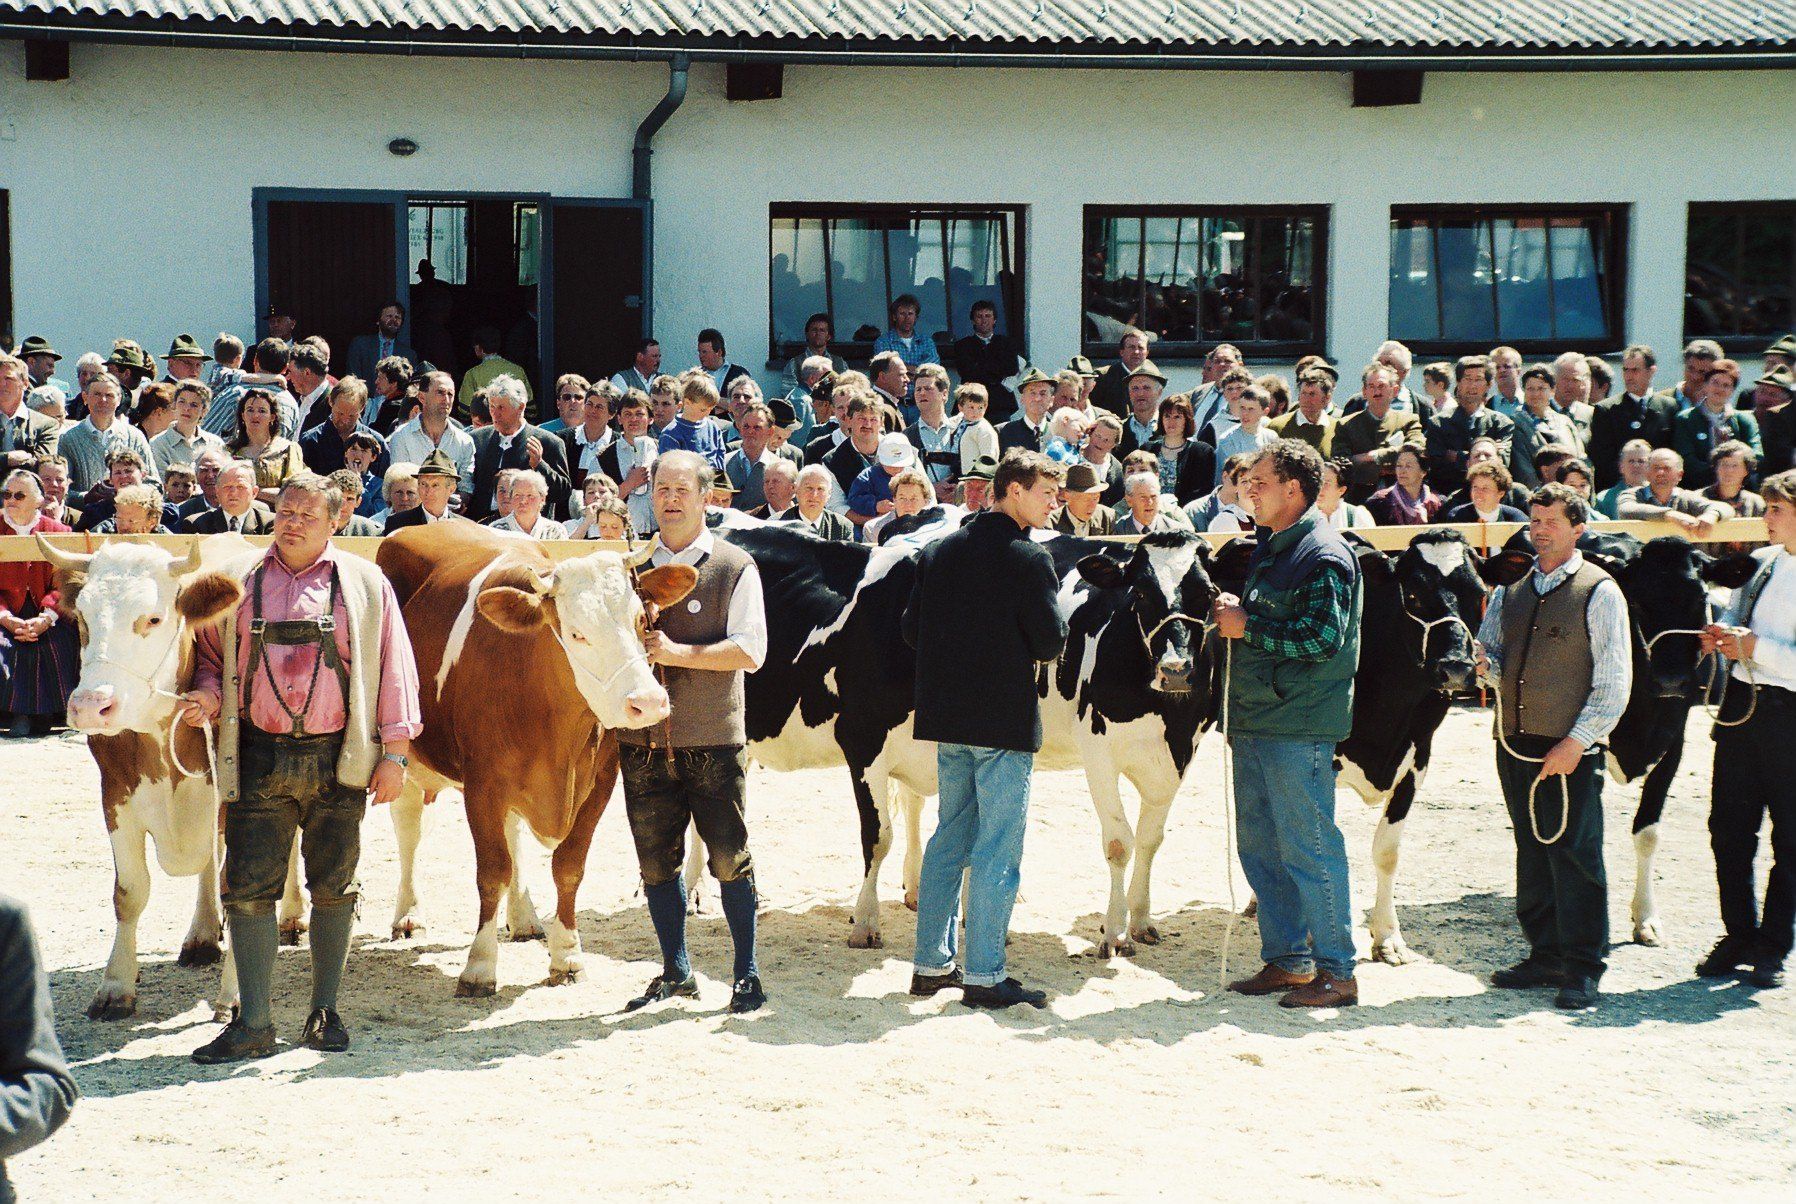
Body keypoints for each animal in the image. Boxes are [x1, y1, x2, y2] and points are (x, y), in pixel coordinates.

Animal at [375, 524, 689, 991]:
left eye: (641, 620)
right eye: (576, 633)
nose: (648, 703)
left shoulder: (601, 781)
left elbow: (568, 867)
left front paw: (567, 955)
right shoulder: (483, 786)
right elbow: (492, 872)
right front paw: (479, 966)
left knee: (512, 831)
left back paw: (523, 917)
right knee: (408, 828)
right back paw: (403, 914)